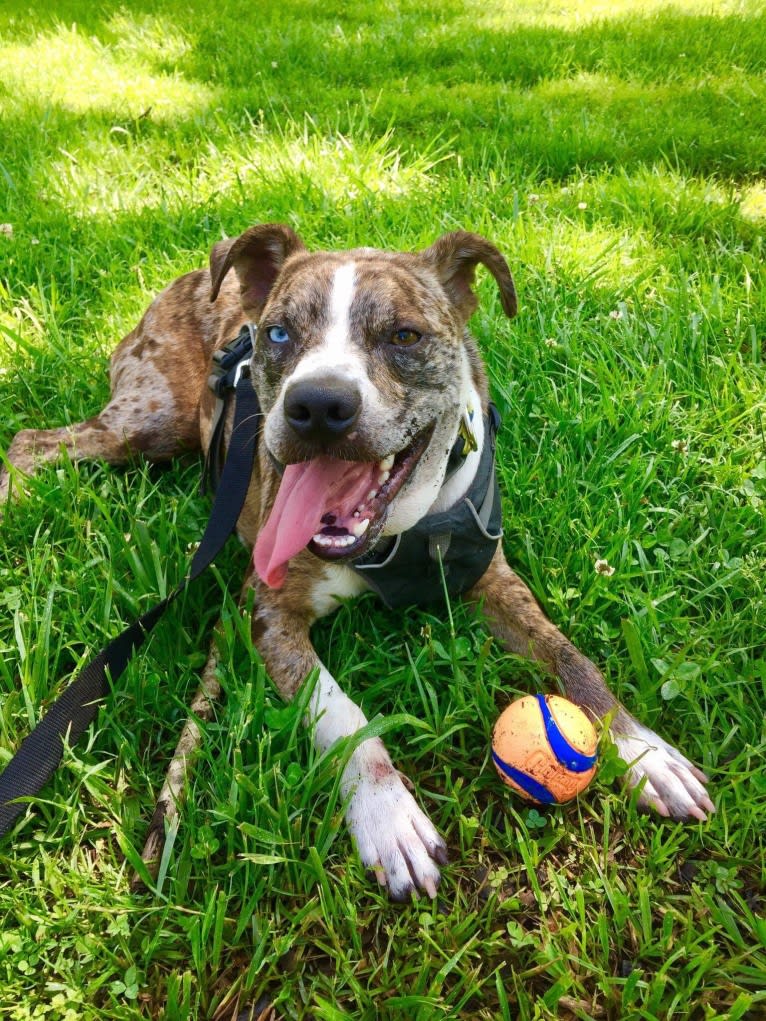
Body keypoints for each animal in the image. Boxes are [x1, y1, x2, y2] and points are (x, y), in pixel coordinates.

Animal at [3, 227, 719, 898]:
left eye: (404, 335)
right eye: (279, 333)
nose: (318, 405)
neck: (394, 537)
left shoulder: (492, 579)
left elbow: (571, 657)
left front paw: (643, 750)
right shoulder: (268, 611)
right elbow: (342, 713)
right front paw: (388, 816)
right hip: (151, 420)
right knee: (33, 441)